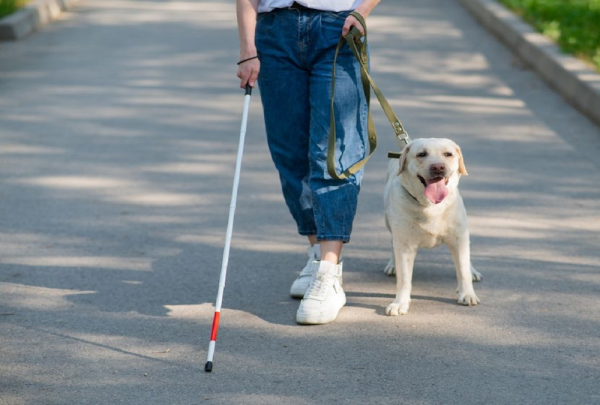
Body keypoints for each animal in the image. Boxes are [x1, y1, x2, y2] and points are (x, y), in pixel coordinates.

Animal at [386, 137, 480, 314]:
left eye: (448, 154)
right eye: (421, 154)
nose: (438, 167)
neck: (430, 206)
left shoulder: (459, 237)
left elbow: (462, 270)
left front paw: (467, 294)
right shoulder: (405, 244)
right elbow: (404, 278)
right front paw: (400, 303)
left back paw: (473, 271)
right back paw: (392, 264)